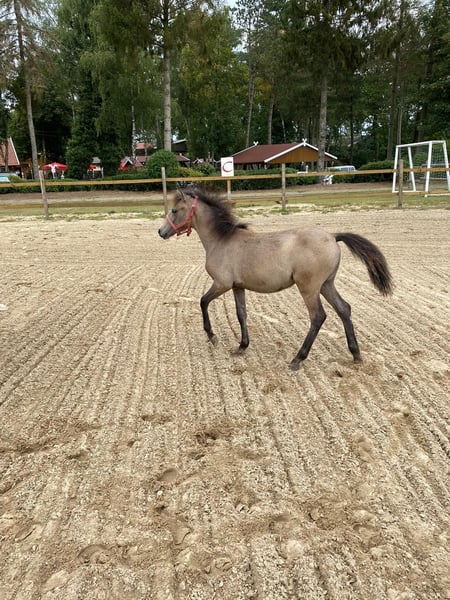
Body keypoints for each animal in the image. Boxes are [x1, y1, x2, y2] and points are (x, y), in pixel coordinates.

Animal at [158, 188, 393, 370]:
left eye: (175, 210)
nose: (161, 231)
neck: (222, 240)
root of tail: (333, 237)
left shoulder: (221, 284)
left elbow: (203, 301)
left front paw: (212, 336)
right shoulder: (237, 287)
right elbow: (241, 314)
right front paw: (241, 347)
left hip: (309, 287)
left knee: (318, 317)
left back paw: (298, 359)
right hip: (327, 285)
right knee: (344, 309)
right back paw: (356, 354)